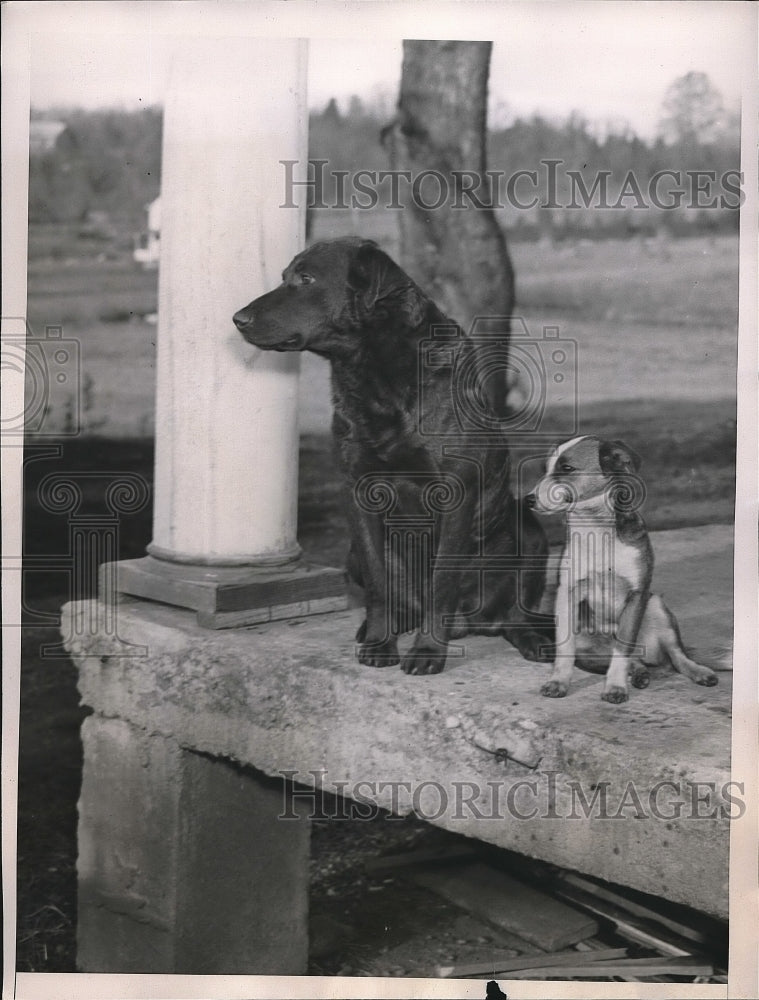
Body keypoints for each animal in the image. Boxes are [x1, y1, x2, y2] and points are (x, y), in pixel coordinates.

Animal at [233, 236, 552, 672]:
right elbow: (378, 583)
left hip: (529, 530)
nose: (238, 318)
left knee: (516, 614)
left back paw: (533, 640)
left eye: (306, 278)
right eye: (284, 277)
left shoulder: (457, 491)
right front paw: (381, 644)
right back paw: (378, 627)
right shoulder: (359, 492)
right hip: (351, 551)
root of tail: (470, 623)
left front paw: (428, 651)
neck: (374, 372)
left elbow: (442, 580)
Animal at [524, 436, 720, 704]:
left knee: (676, 655)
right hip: (587, 644)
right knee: (634, 661)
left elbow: (622, 648)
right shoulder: (567, 593)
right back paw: (640, 674)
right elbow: (565, 650)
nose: (527, 499)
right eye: (545, 469)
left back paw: (699, 672)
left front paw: (615, 687)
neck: (595, 528)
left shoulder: (637, 595)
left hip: (656, 605)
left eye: (567, 468)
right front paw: (558, 682)